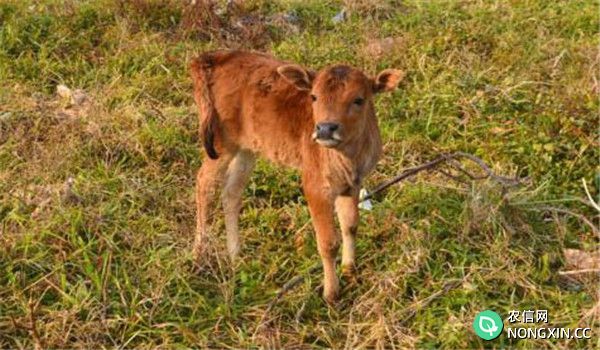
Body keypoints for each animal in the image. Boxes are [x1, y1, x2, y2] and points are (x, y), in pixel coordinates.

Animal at [188, 50, 404, 304]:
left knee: (231, 192)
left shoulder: (352, 183)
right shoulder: (314, 184)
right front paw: (331, 294)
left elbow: (350, 225)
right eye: (314, 97)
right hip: (221, 143)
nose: (325, 129)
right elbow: (328, 242)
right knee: (204, 184)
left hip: (247, 148)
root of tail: (214, 57)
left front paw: (350, 270)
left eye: (359, 100)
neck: (349, 156)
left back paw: (235, 254)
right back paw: (199, 254)